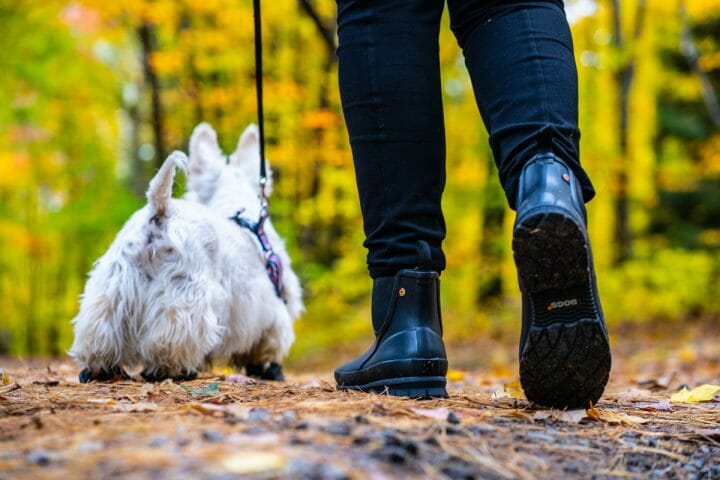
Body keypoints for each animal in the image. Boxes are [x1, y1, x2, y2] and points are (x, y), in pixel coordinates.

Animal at [69, 124, 302, 382]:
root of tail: (160, 210)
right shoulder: (273, 312)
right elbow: (270, 343)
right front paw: (269, 369)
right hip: (184, 296)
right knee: (171, 340)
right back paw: (173, 370)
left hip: (111, 290)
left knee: (100, 337)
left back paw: (101, 369)